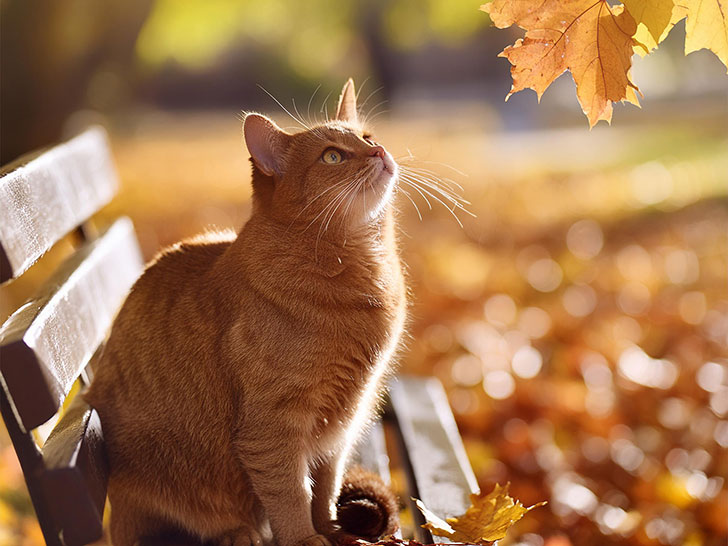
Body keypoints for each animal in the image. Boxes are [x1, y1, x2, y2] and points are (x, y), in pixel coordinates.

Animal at [85, 79, 406, 544]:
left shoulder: (343, 423)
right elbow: (291, 493)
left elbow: (325, 486)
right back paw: (240, 533)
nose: (379, 151)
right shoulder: (272, 427)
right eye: (333, 156)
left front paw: (332, 528)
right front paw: (306, 538)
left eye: (367, 137)